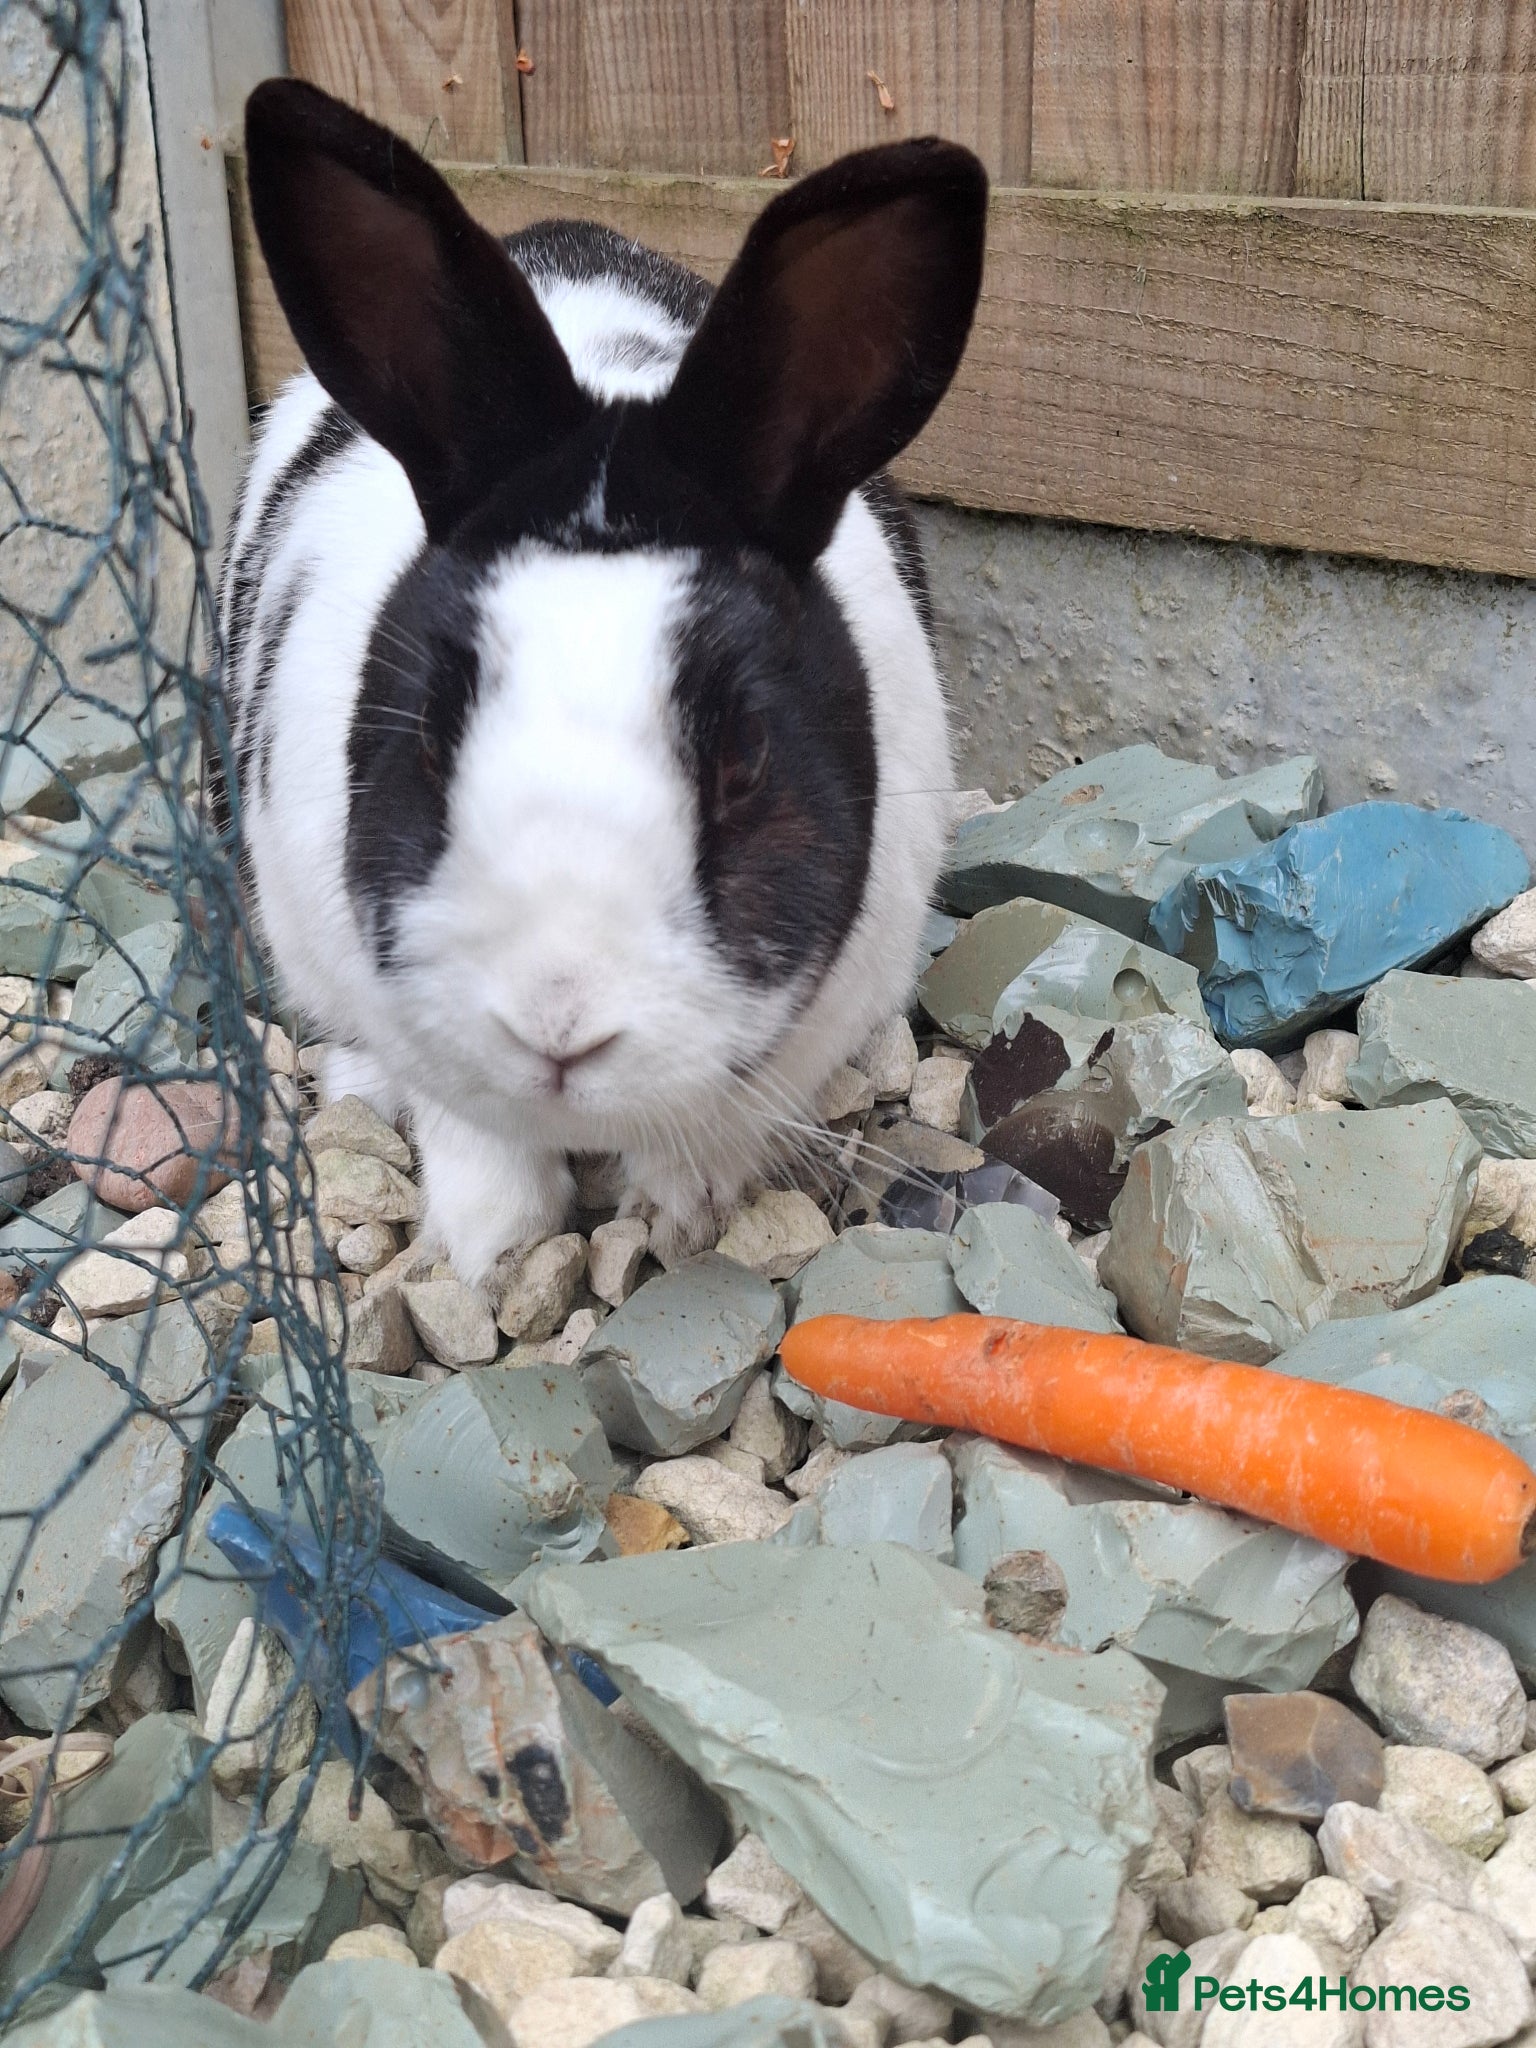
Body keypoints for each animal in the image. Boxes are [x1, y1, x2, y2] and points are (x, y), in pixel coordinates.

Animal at [223, 77, 987, 1284]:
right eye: (428, 735)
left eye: (744, 757)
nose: (558, 1025)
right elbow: (475, 1136)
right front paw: (488, 1249)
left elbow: (702, 1137)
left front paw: (681, 1217)